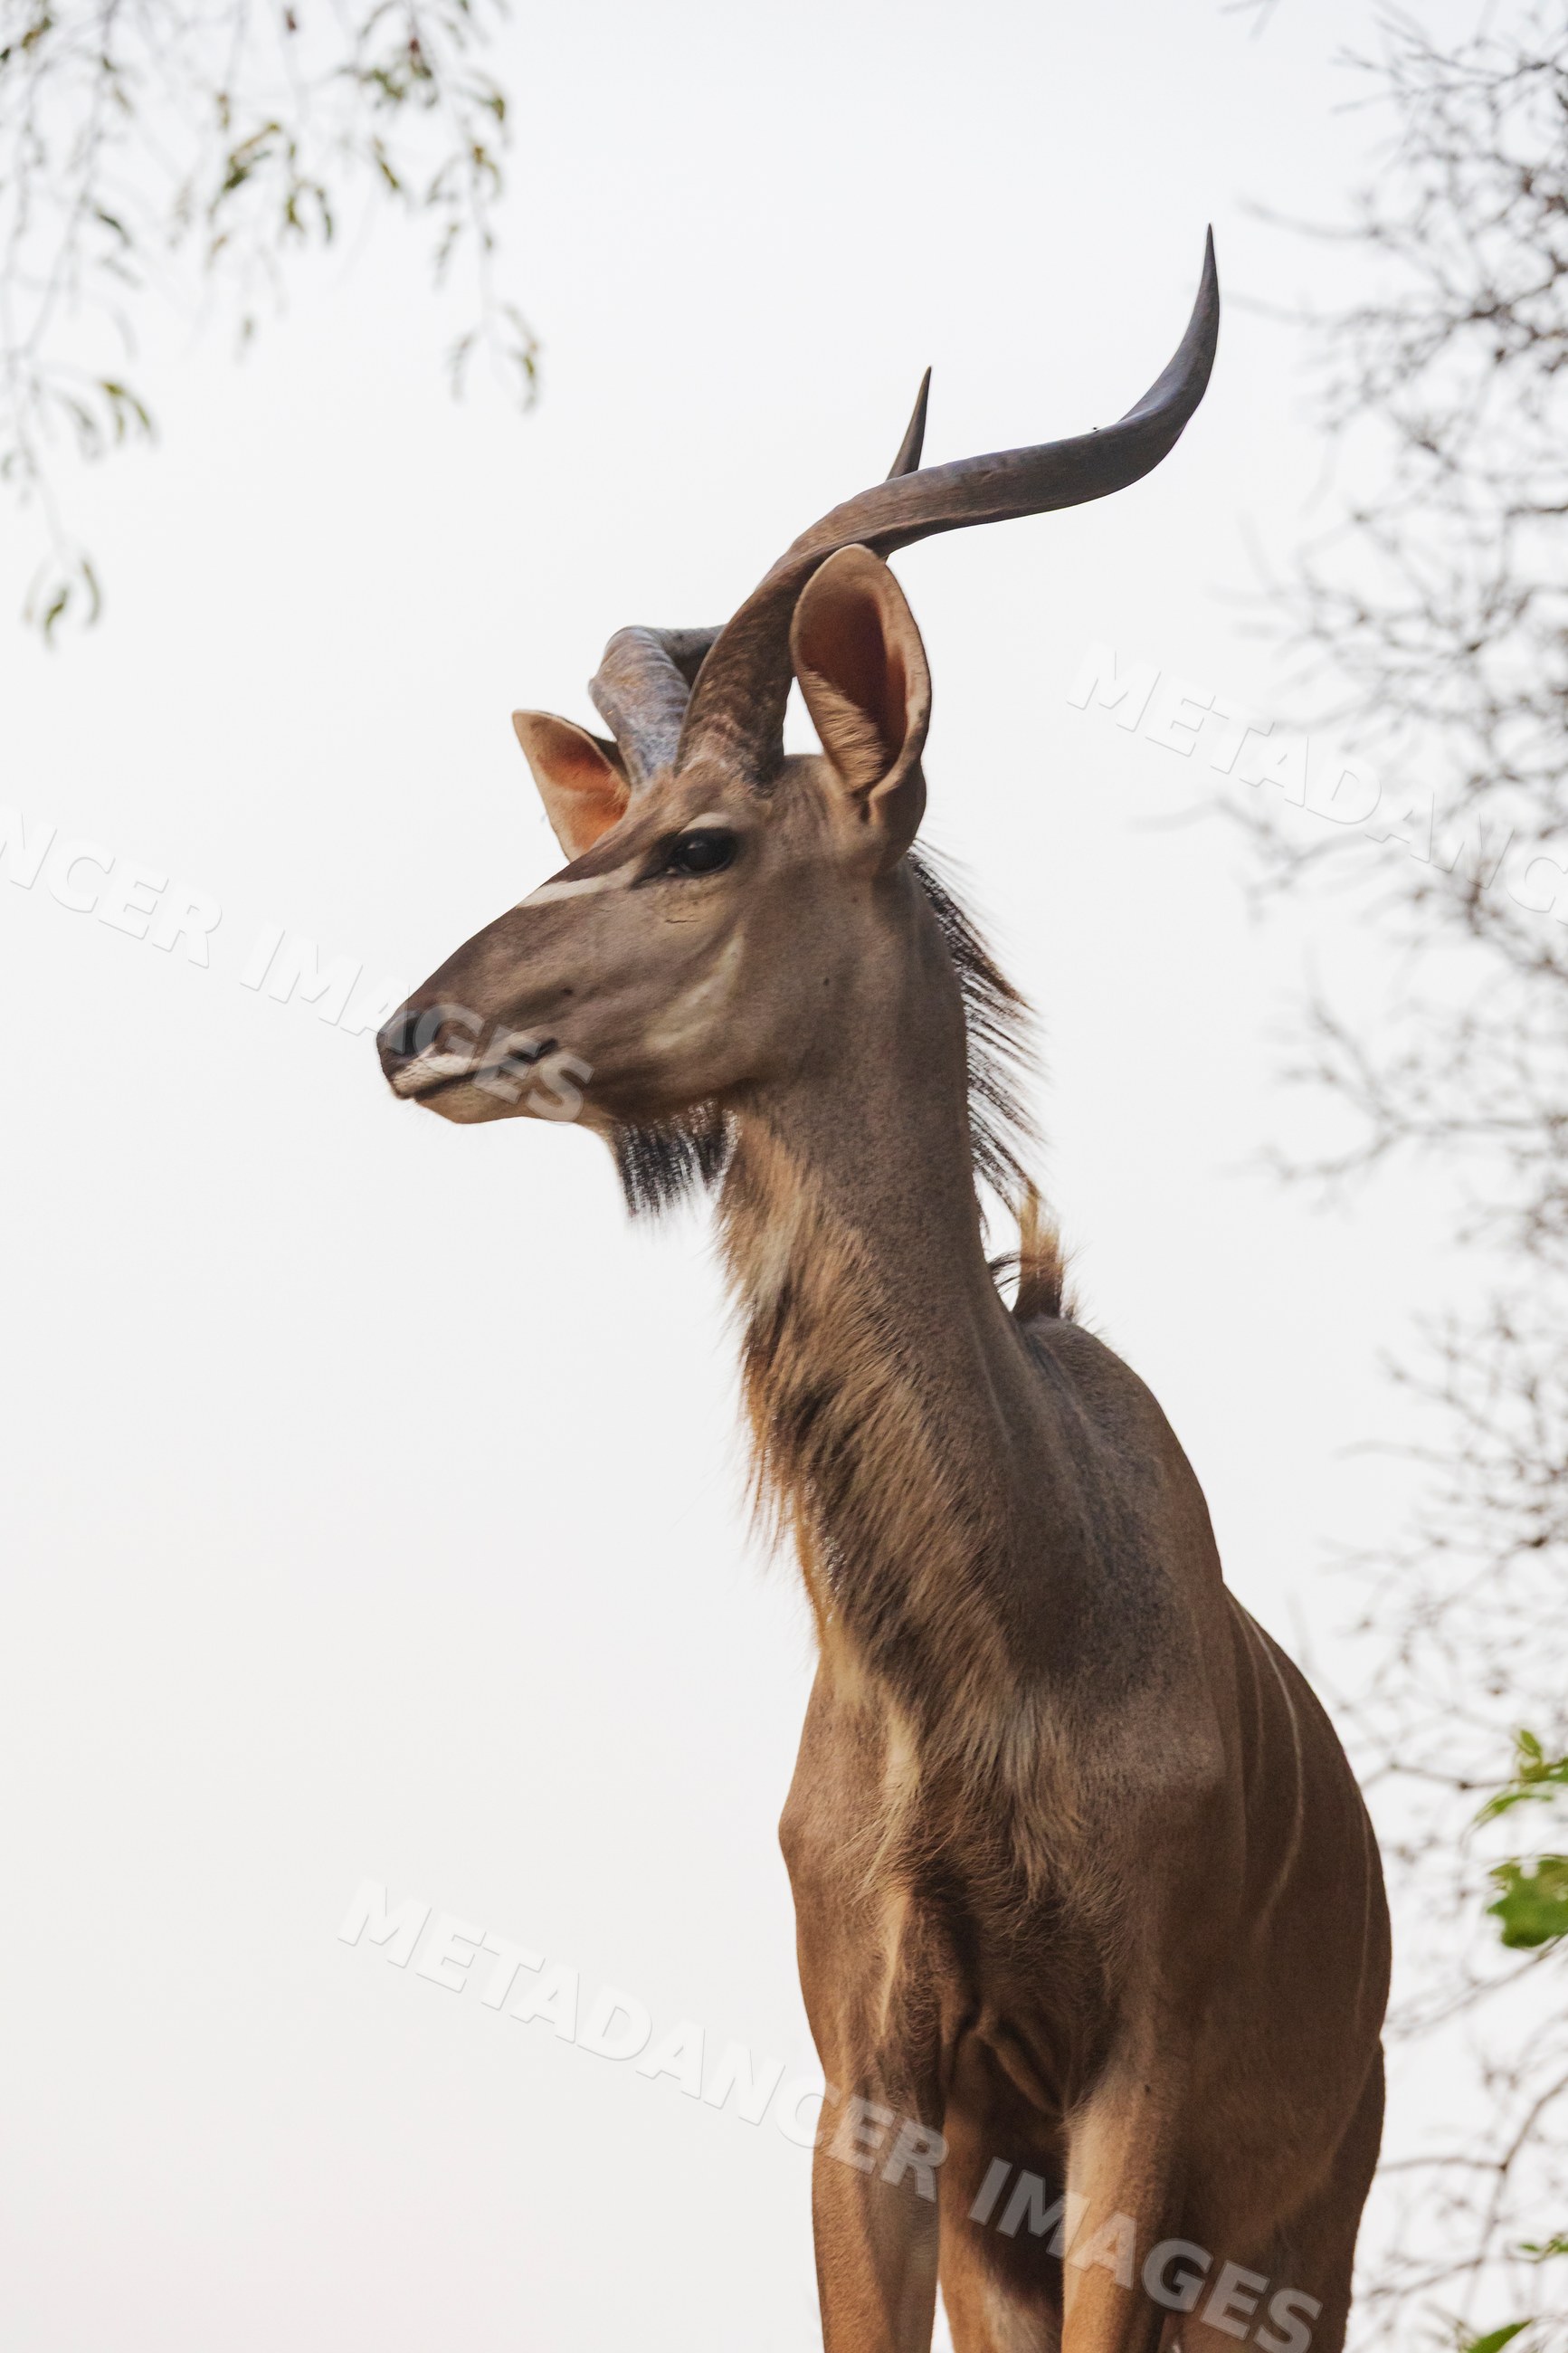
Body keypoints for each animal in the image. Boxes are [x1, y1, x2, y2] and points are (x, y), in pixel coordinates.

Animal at [377, 234, 1389, 2353]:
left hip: (1294, 2239)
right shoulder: (877, 2082)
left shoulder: (1132, 2095)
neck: (1005, 1645)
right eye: (594, 832)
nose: (412, 1029)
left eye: (698, 843)